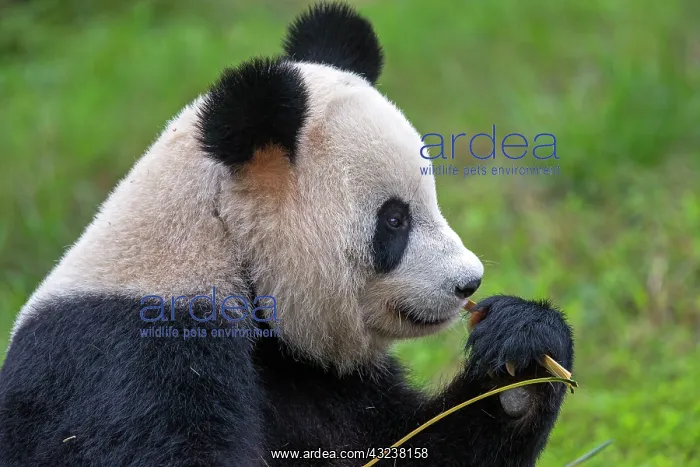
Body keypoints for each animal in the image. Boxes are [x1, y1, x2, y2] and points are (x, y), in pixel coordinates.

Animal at [0, 3, 574, 466]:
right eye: (394, 220)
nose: (467, 284)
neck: (221, 239)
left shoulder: (314, 378)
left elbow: (399, 445)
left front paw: (522, 356)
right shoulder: (130, 356)